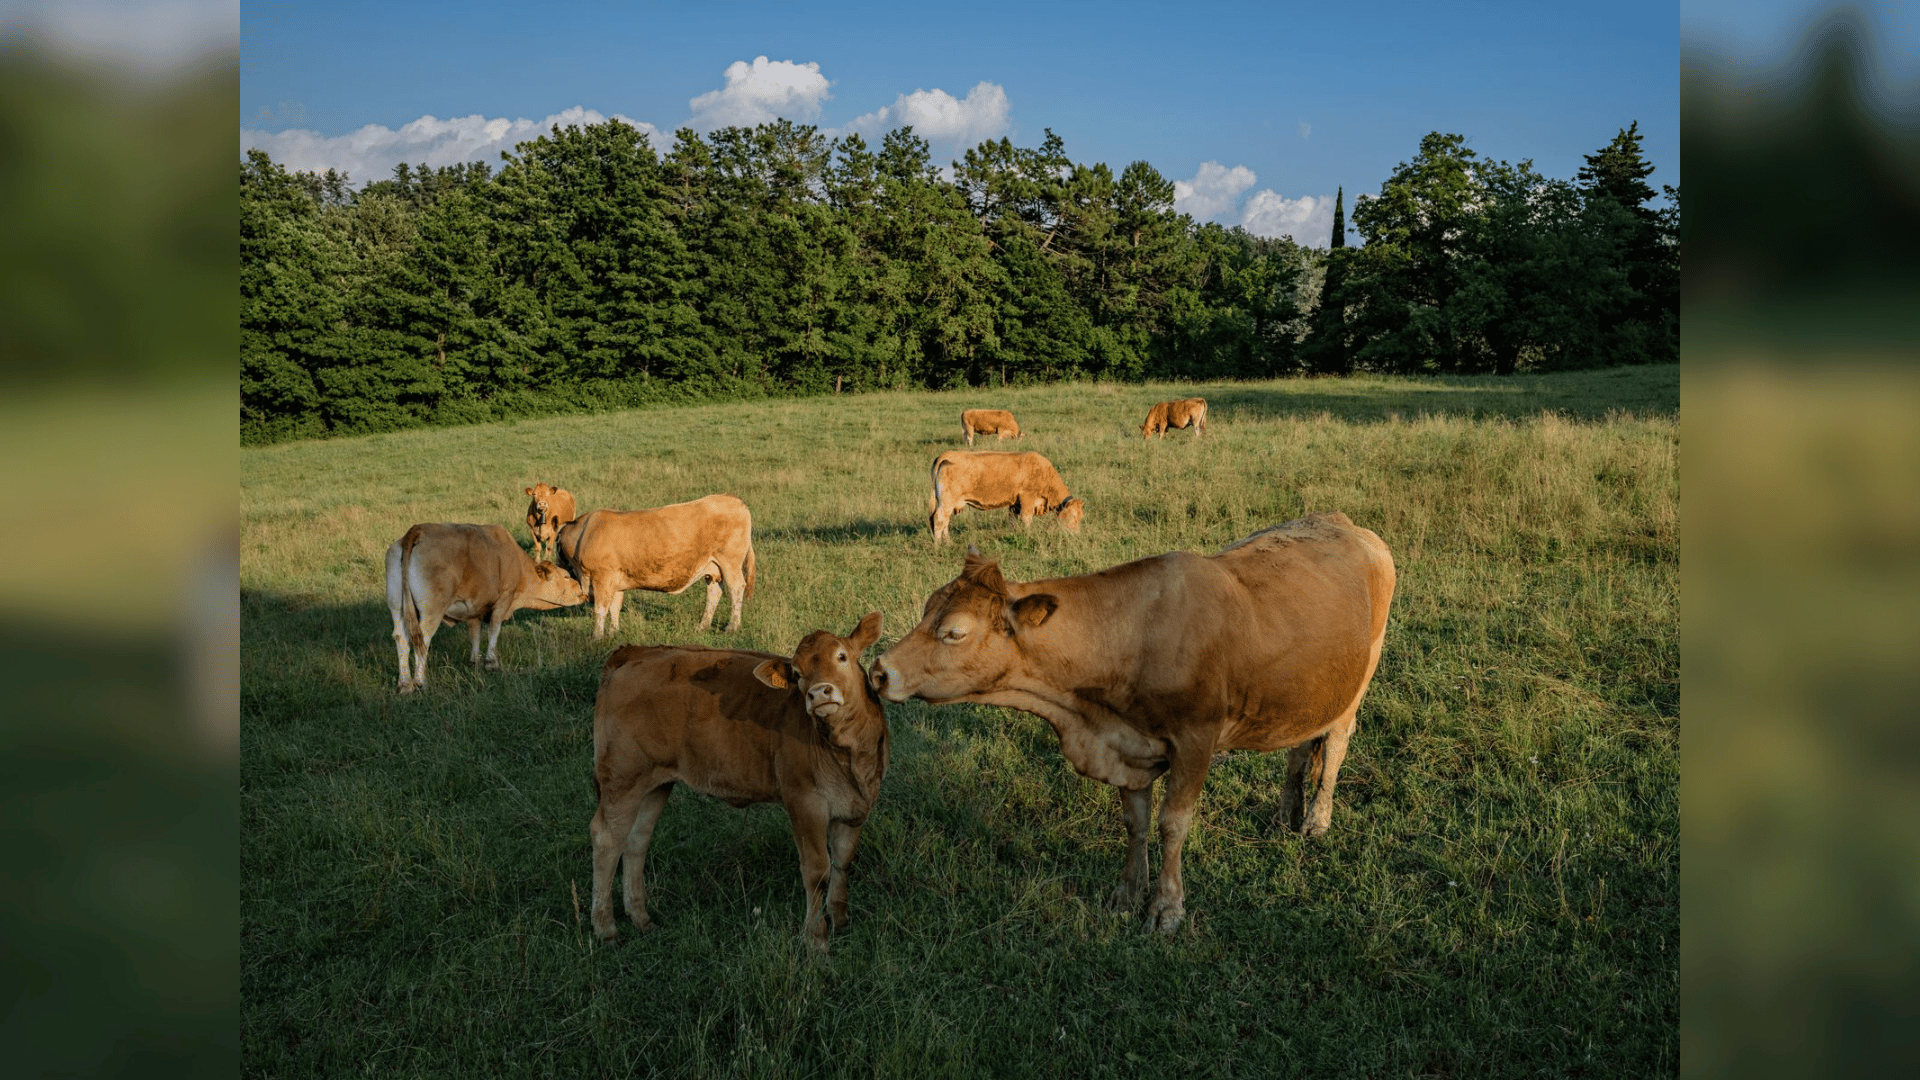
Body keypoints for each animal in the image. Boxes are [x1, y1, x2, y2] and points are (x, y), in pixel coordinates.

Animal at [384, 523, 588, 694]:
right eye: (566, 576)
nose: (582, 590)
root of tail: (418, 530)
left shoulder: (474, 608)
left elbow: (475, 634)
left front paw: (475, 661)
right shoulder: (504, 599)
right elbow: (493, 630)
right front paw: (492, 662)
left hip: (397, 606)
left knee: (401, 637)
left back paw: (405, 684)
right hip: (432, 610)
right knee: (422, 639)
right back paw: (420, 682)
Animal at [562, 494, 756, 638]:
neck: (585, 533)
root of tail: (734, 499)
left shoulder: (602, 576)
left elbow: (600, 609)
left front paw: (597, 636)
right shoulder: (615, 580)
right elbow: (615, 607)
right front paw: (613, 633)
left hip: (730, 563)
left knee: (736, 588)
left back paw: (732, 626)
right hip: (713, 567)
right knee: (714, 592)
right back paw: (703, 626)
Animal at [590, 612, 888, 953]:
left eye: (841, 657)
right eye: (797, 674)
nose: (819, 693)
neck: (848, 754)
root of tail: (634, 652)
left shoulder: (856, 807)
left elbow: (842, 862)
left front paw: (840, 921)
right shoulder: (804, 802)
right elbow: (817, 869)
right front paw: (816, 938)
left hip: (654, 784)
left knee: (636, 841)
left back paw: (641, 918)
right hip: (622, 778)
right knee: (607, 839)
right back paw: (605, 928)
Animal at [869, 512, 1394, 933]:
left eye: (954, 632)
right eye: (925, 609)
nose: (878, 670)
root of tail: (1346, 524)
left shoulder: (1196, 740)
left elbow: (1172, 824)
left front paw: (1166, 907)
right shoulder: (1127, 747)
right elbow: (1135, 822)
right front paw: (1126, 893)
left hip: (1357, 682)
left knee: (1336, 745)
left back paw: (1316, 820)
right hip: (1309, 689)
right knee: (1301, 746)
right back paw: (1286, 812)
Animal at [927, 450, 1084, 544]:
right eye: (1073, 517)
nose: (1076, 535)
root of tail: (946, 454)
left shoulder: (1015, 503)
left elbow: (1012, 520)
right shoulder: (1027, 498)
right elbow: (1026, 518)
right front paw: (1029, 535)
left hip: (948, 503)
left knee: (945, 521)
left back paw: (948, 542)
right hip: (947, 502)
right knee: (939, 519)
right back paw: (938, 545)